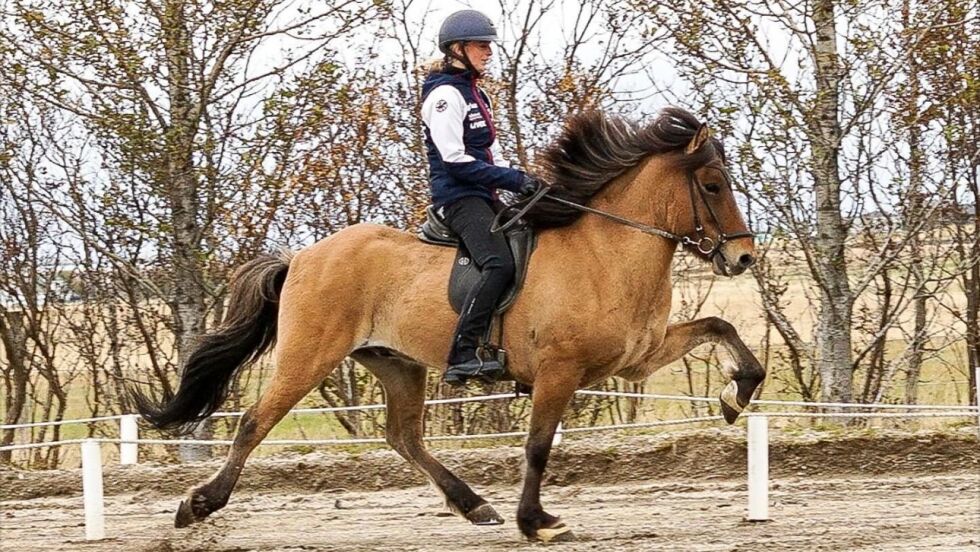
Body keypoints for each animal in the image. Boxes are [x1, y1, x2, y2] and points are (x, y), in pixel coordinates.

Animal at [134, 105, 764, 540]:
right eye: (712, 185)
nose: (742, 259)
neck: (607, 250)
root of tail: (304, 256)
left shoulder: (636, 358)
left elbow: (721, 327)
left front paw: (736, 397)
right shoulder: (560, 370)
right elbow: (538, 446)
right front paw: (537, 521)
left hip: (395, 363)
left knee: (403, 436)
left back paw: (474, 505)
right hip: (309, 354)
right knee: (254, 421)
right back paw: (198, 505)